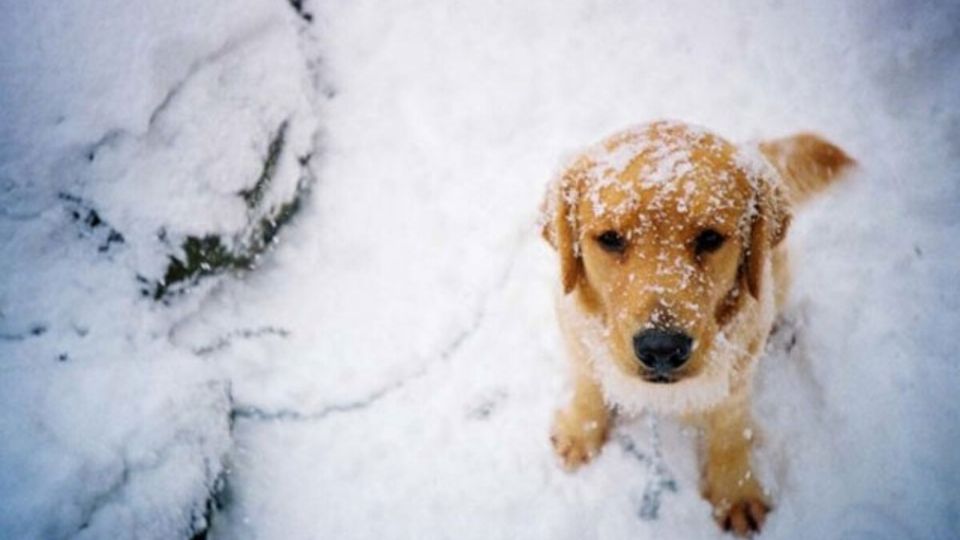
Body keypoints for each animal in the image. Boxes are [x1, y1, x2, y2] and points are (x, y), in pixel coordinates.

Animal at [544, 121, 852, 536]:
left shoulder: (737, 375)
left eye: (710, 238)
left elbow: (730, 429)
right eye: (610, 239)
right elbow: (588, 384)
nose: (661, 348)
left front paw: (734, 490)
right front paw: (581, 431)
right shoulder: (577, 335)